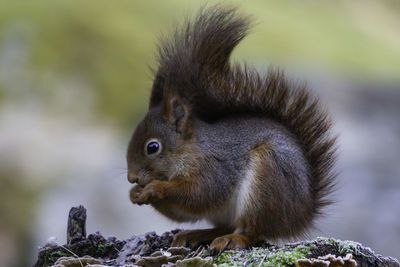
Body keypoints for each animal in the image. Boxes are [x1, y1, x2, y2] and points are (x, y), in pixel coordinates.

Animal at [126, 6, 336, 253]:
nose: (131, 178)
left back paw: (232, 239)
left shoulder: (215, 168)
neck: (191, 150)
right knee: (225, 225)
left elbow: (199, 194)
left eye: (152, 147)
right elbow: (183, 212)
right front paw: (134, 194)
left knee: (252, 230)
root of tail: (301, 216)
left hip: (266, 183)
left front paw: (154, 188)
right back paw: (197, 234)